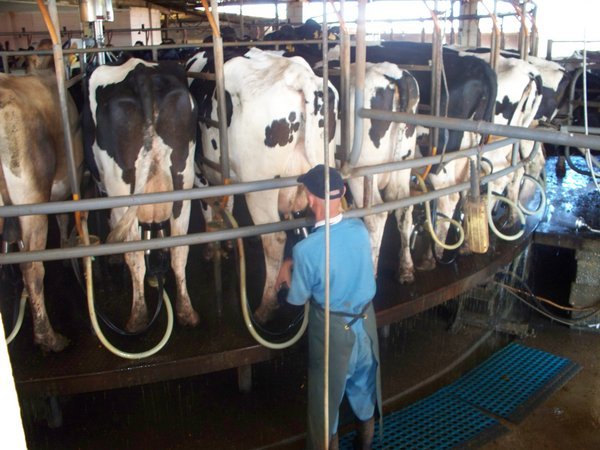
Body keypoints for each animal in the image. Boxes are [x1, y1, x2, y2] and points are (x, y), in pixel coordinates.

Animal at [83, 56, 199, 332]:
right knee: (180, 248)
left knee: (134, 254)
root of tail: (141, 74)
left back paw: (137, 316)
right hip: (183, 179)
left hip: (121, 190)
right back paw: (186, 311)